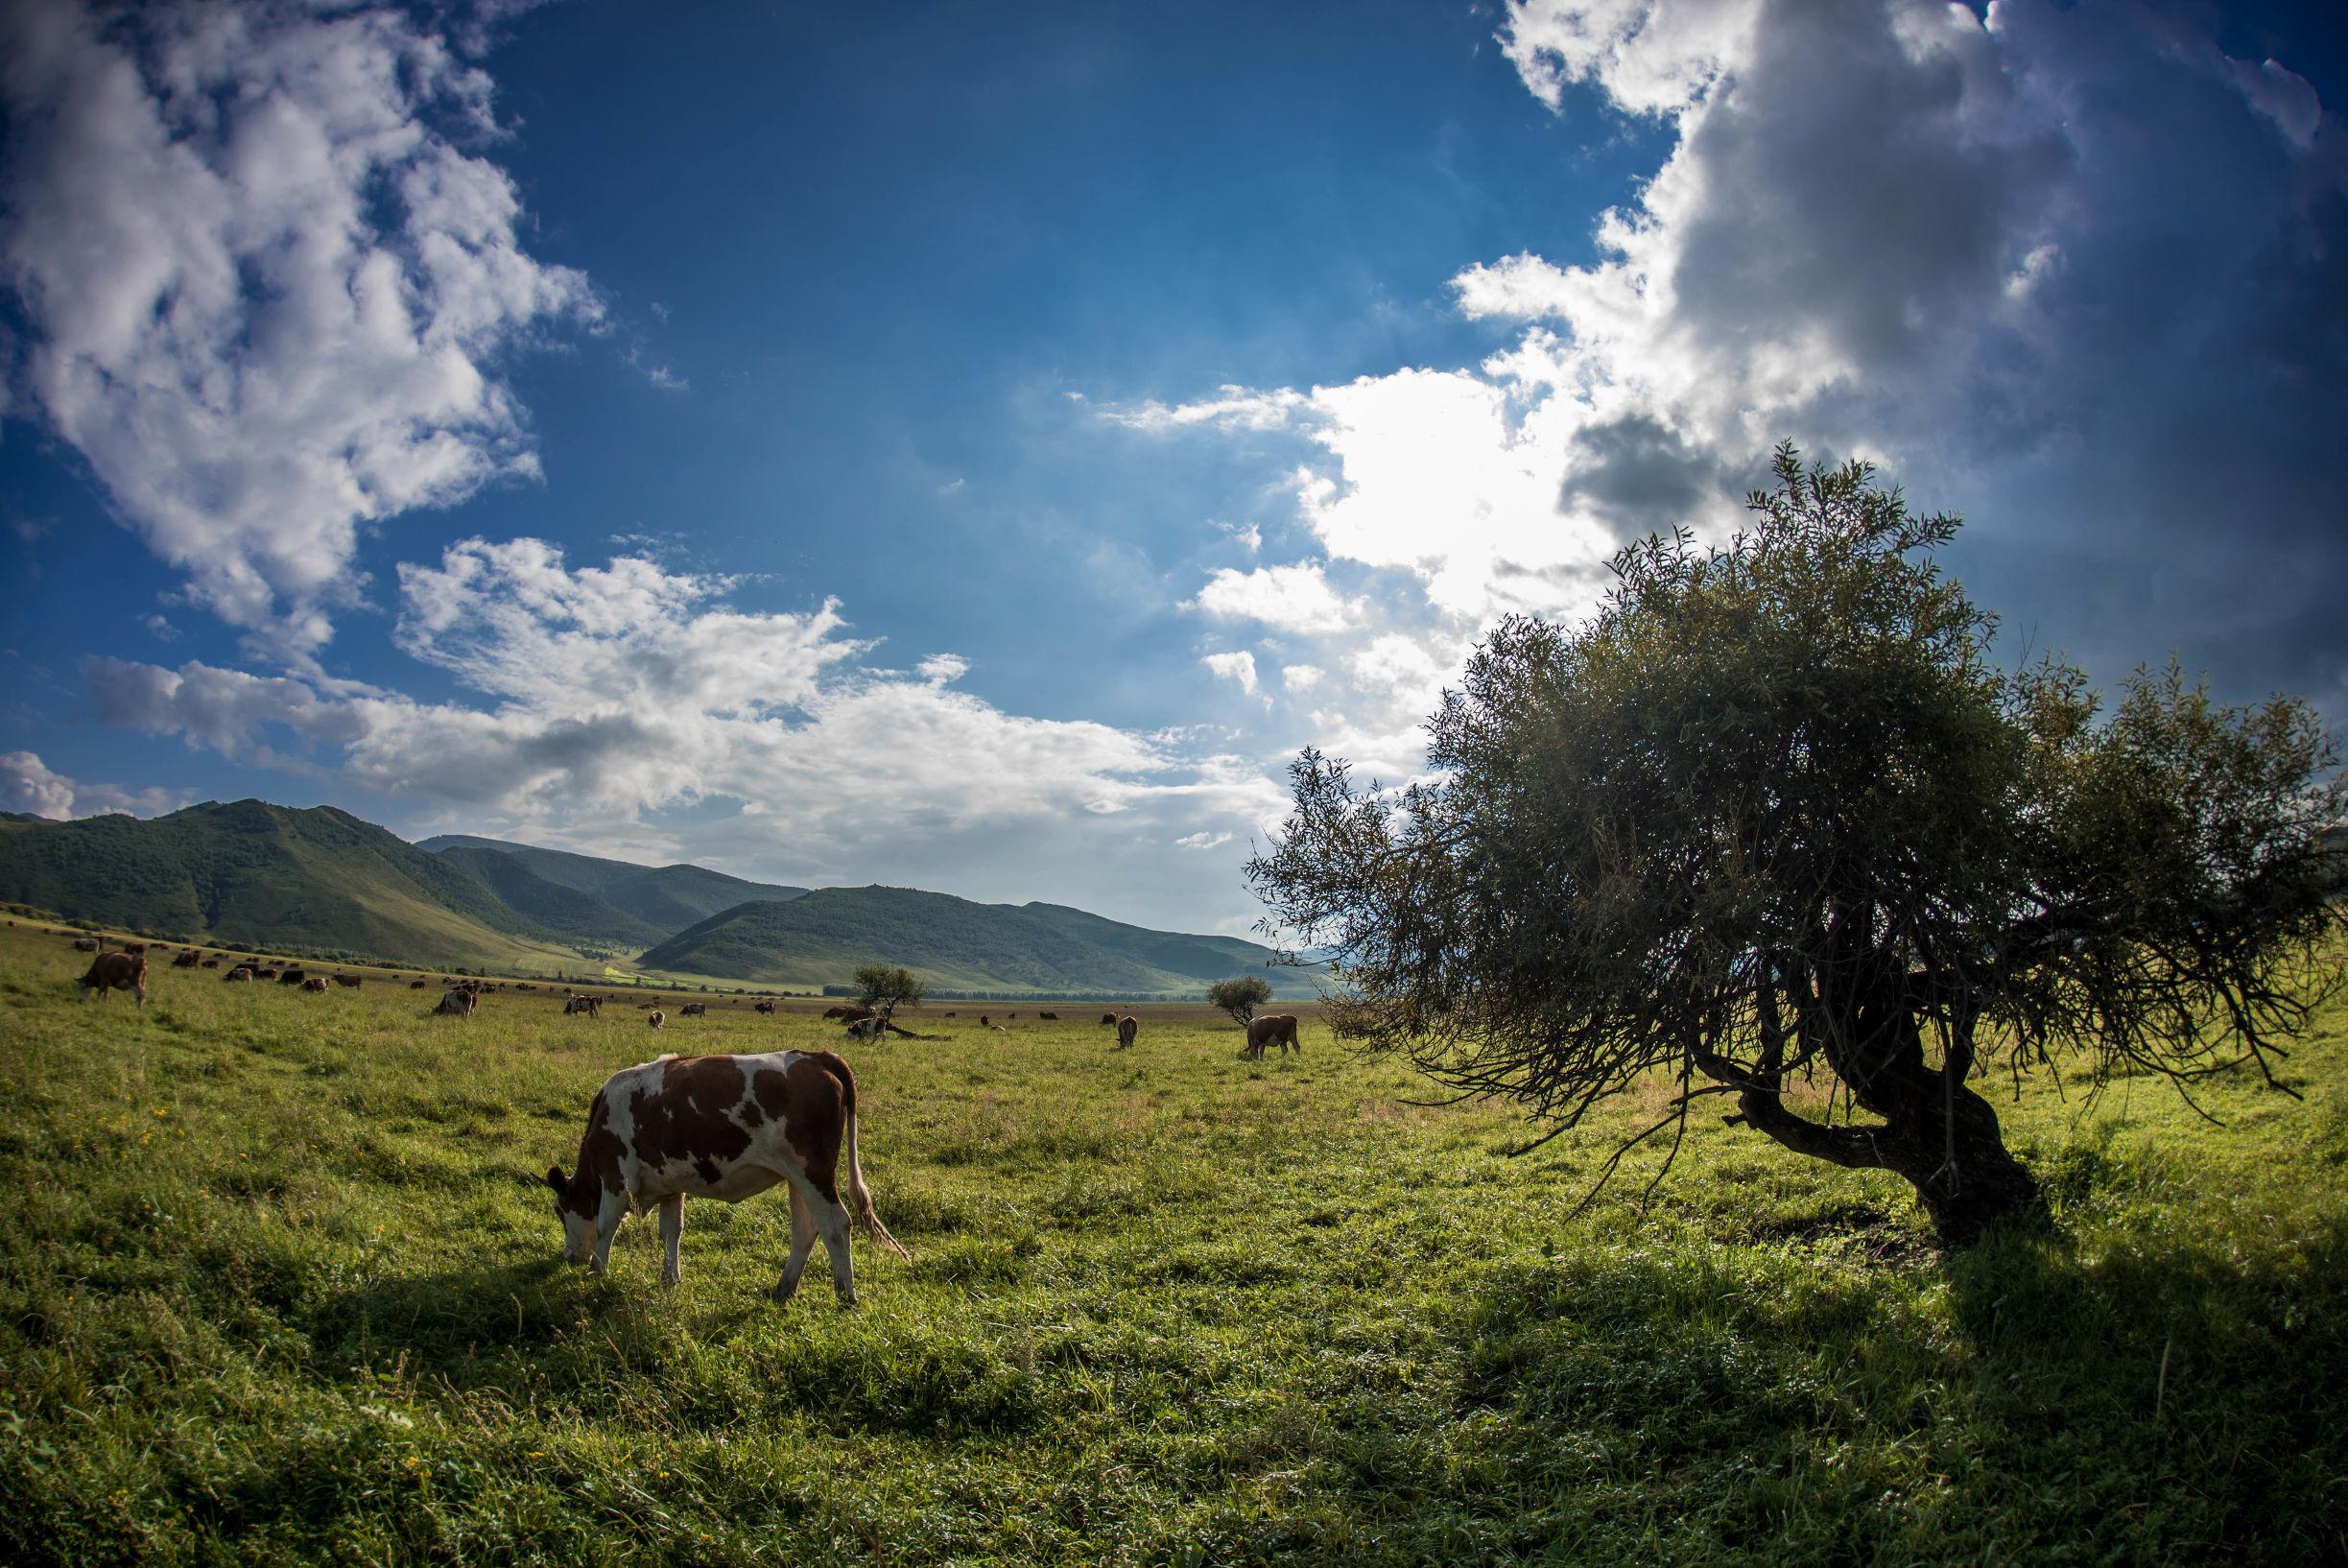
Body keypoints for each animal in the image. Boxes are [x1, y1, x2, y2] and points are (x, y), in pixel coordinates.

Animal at [542, 1051, 906, 1295]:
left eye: (560, 1211)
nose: (568, 1257)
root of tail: (817, 1057)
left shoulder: (617, 1177)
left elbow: (605, 1226)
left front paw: (597, 1272)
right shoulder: (671, 1184)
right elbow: (671, 1230)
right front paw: (669, 1278)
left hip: (814, 1174)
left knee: (836, 1226)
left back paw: (845, 1294)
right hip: (799, 1179)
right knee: (806, 1229)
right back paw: (783, 1289)